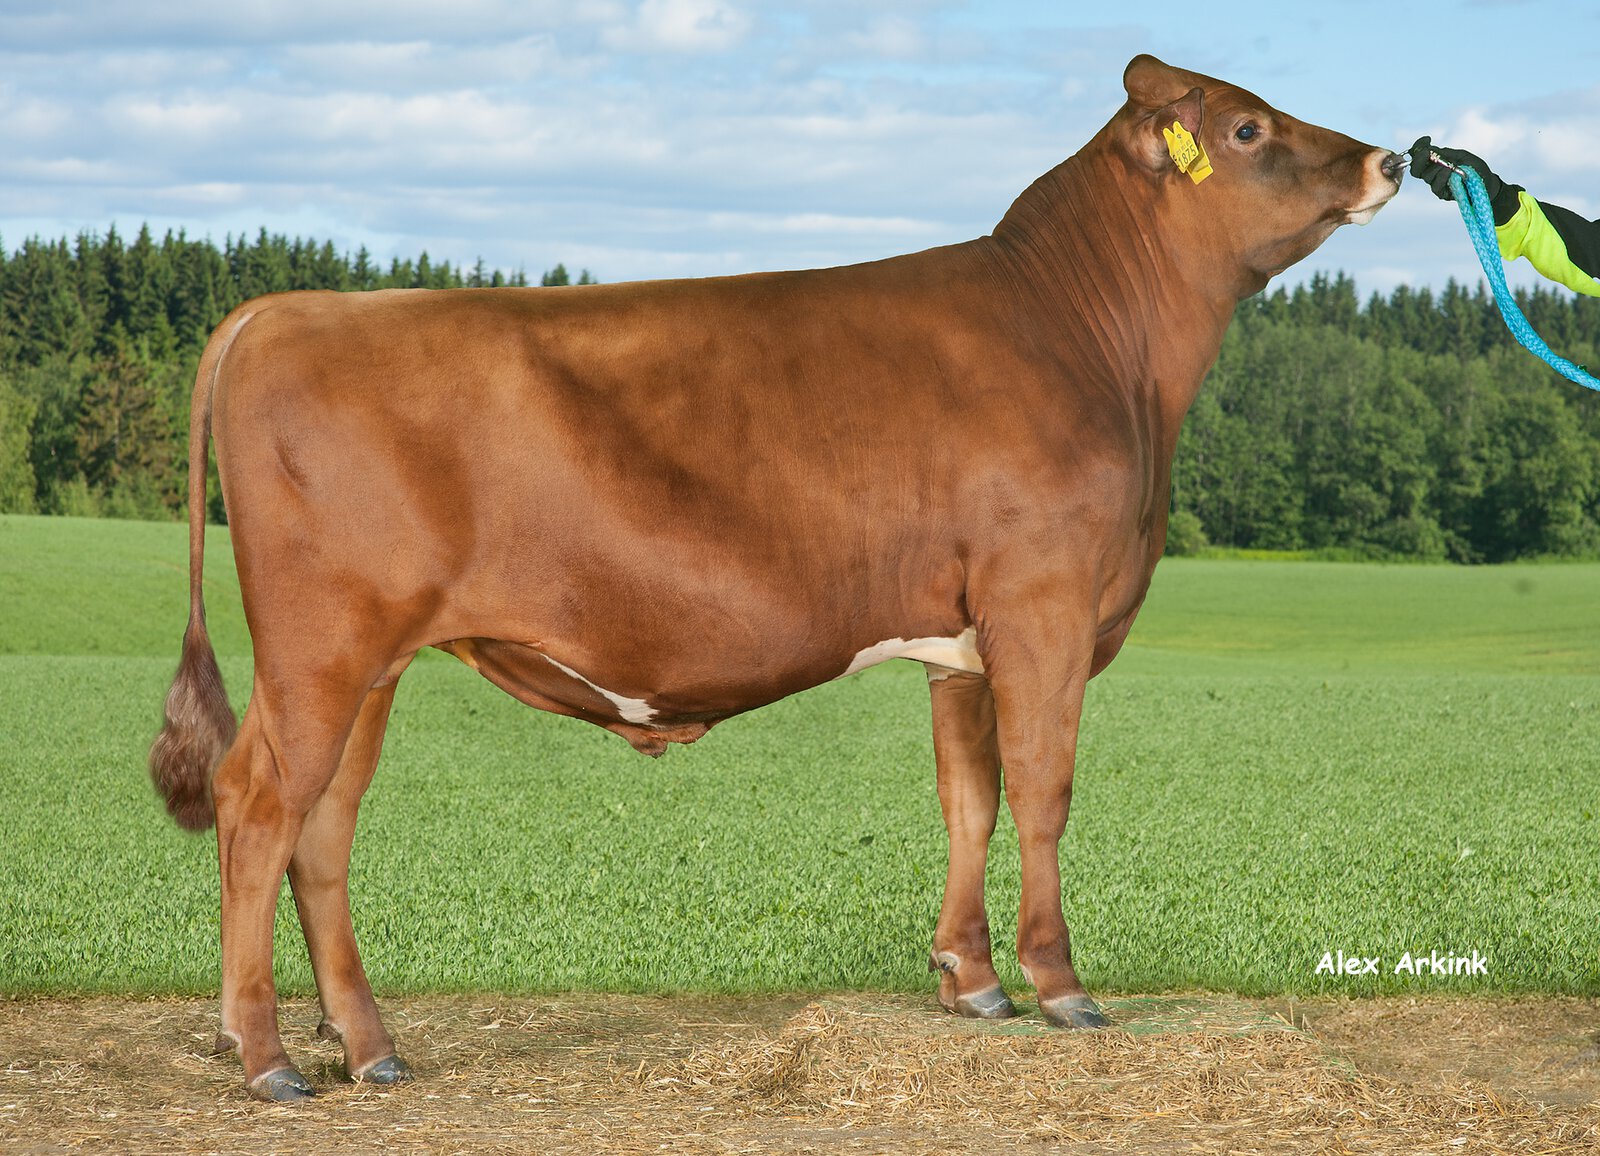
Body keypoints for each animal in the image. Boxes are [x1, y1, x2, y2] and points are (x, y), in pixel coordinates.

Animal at [150, 55, 1403, 1100]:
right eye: (1248, 126)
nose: (1390, 159)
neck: (1100, 349)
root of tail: (283, 309)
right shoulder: (1042, 606)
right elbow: (1044, 792)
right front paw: (1061, 988)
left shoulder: (959, 638)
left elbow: (969, 798)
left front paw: (971, 981)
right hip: (322, 647)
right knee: (257, 803)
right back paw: (264, 1056)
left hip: (372, 661)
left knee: (324, 828)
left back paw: (370, 1048)